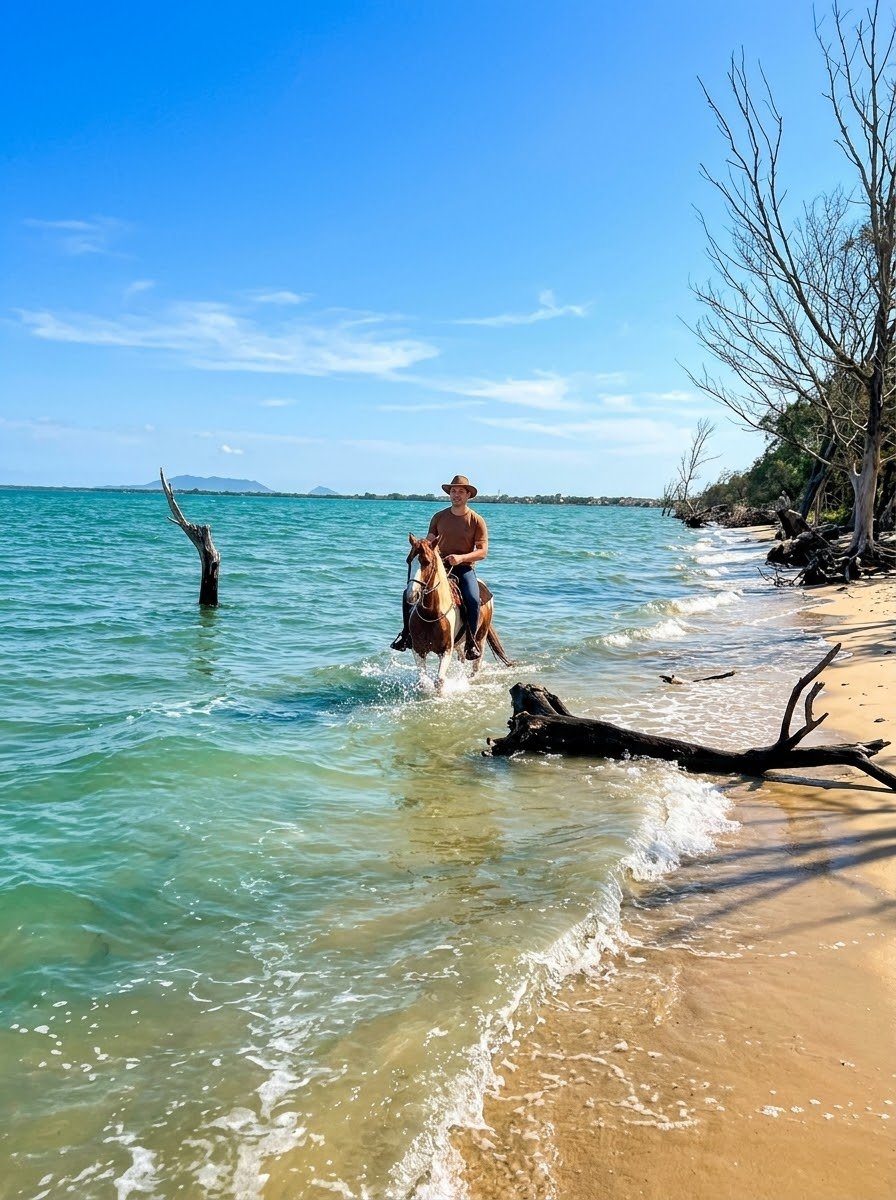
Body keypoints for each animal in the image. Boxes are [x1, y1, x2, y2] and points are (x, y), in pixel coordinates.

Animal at [404, 533, 513, 692]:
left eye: (427, 562)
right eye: (408, 561)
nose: (411, 595)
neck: (431, 614)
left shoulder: (446, 651)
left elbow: (439, 681)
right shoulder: (418, 650)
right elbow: (423, 681)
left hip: (480, 639)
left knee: (475, 668)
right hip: (459, 644)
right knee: (461, 658)